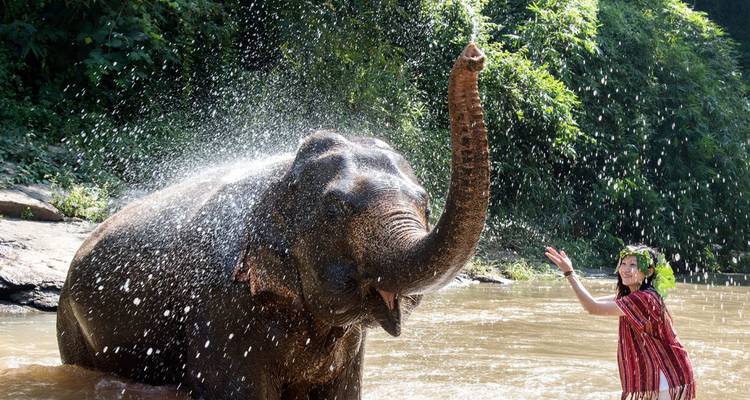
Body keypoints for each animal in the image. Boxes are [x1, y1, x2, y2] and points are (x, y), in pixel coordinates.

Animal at [56, 43, 489, 399]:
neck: (279, 182)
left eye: (425, 205)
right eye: (335, 210)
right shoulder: (223, 310)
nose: (473, 55)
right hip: (70, 323)